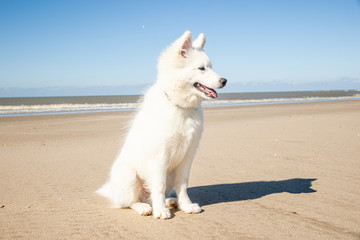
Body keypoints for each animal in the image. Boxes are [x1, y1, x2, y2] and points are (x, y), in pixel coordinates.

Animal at [97, 30, 226, 219]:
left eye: (211, 67)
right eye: (201, 68)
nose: (224, 80)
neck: (180, 107)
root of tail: (113, 192)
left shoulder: (188, 156)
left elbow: (182, 185)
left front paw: (186, 206)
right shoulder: (159, 157)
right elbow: (158, 186)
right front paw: (161, 211)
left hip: (168, 174)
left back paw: (170, 201)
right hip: (129, 176)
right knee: (130, 202)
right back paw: (145, 207)